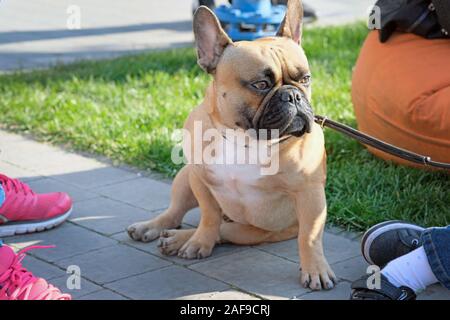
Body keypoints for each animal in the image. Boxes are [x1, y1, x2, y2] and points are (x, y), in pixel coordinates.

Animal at [128, 0, 336, 290]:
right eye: (261, 84)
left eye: (305, 79)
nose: (294, 95)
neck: (246, 139)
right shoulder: (200, 179)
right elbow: (208, 215)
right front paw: (199, 242)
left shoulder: (310, 194)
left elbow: (309, 235)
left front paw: (315, 269)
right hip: (184, 177)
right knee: (177, 212)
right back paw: (155, 228)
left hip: (255, 231)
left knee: (225, 230)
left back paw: (178, 239)